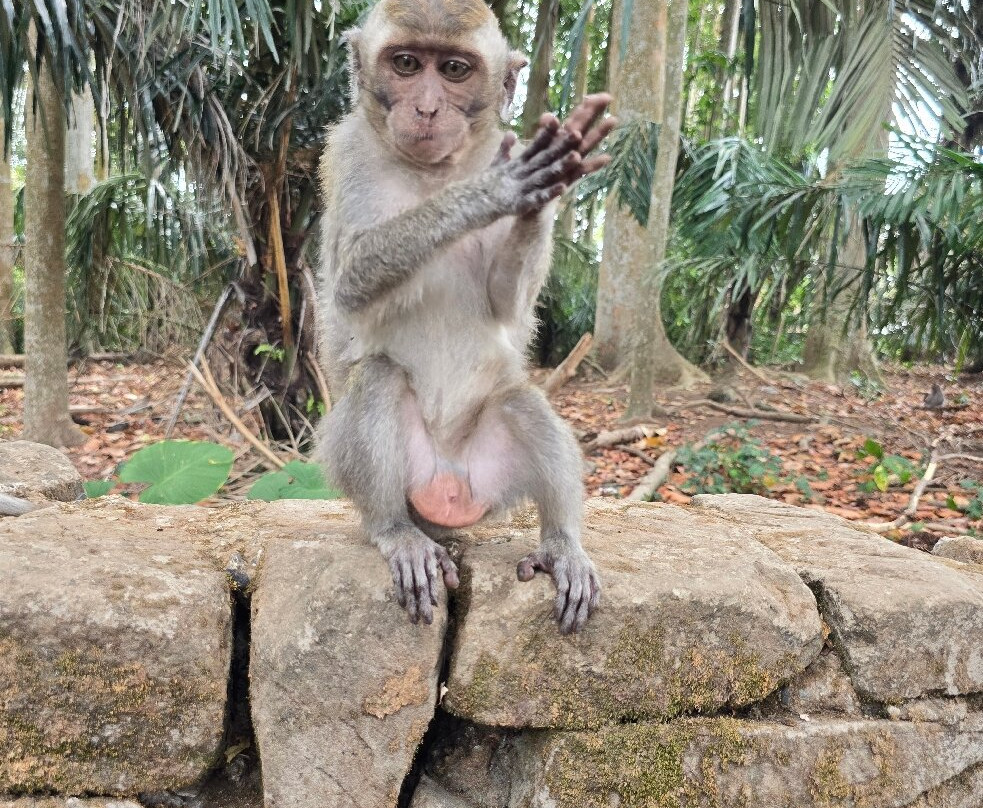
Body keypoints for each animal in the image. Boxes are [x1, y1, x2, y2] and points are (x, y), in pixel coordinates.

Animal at [315, 0, 617, 634]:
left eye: (454, 70)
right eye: (406, 64)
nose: (428, 108)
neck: (433, 170)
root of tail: (445, 487)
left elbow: (506, 304)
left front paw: (535, 201)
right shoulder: (349, 153)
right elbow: (350, 282)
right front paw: (493, 191)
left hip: (490, 479)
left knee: (521, 401)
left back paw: (562, 545)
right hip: (376, 470)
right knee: (377, 379)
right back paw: (397, 534)